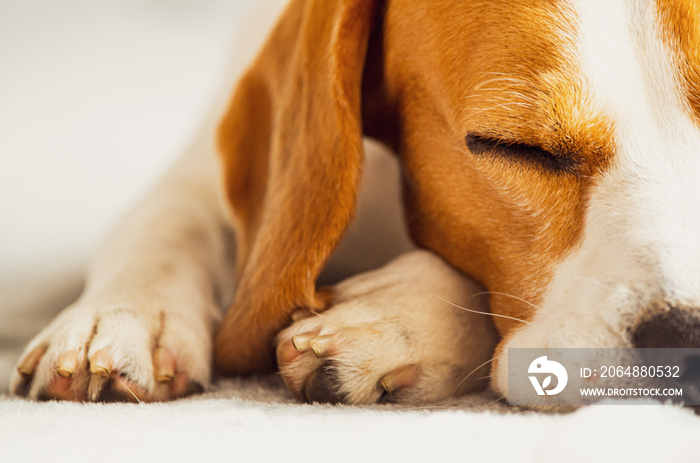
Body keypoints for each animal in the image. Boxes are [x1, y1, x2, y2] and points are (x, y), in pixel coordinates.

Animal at [9, 0, 700, 406]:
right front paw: (124, 314)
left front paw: (395, 319)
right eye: (514, 146)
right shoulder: (196, 177)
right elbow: (168, 223)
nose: (685, 339)